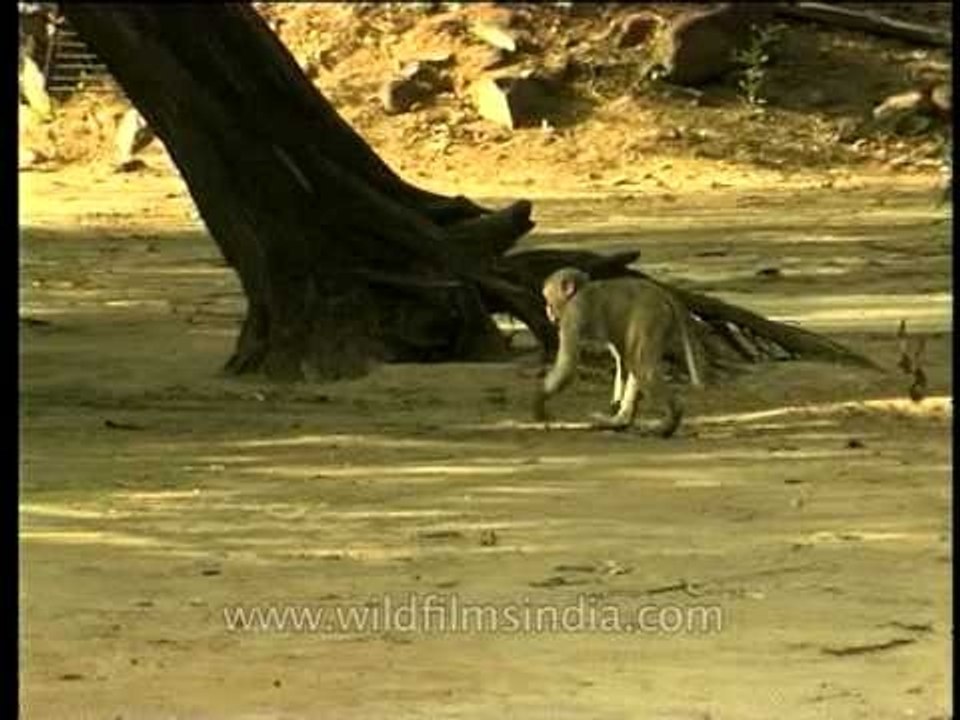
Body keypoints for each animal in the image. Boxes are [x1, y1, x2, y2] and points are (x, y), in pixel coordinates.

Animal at [533, 267, 704, 436]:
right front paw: (616, 405)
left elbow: (568, 364)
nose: (547, 310)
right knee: (633, 361)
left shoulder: (573, 313)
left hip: (651, 317)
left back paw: (669, 423)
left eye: (548, 299)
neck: (579, 291)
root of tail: (662, 293)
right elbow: (621, 360)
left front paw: (540, 402)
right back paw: (622, 421)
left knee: (640, 364)